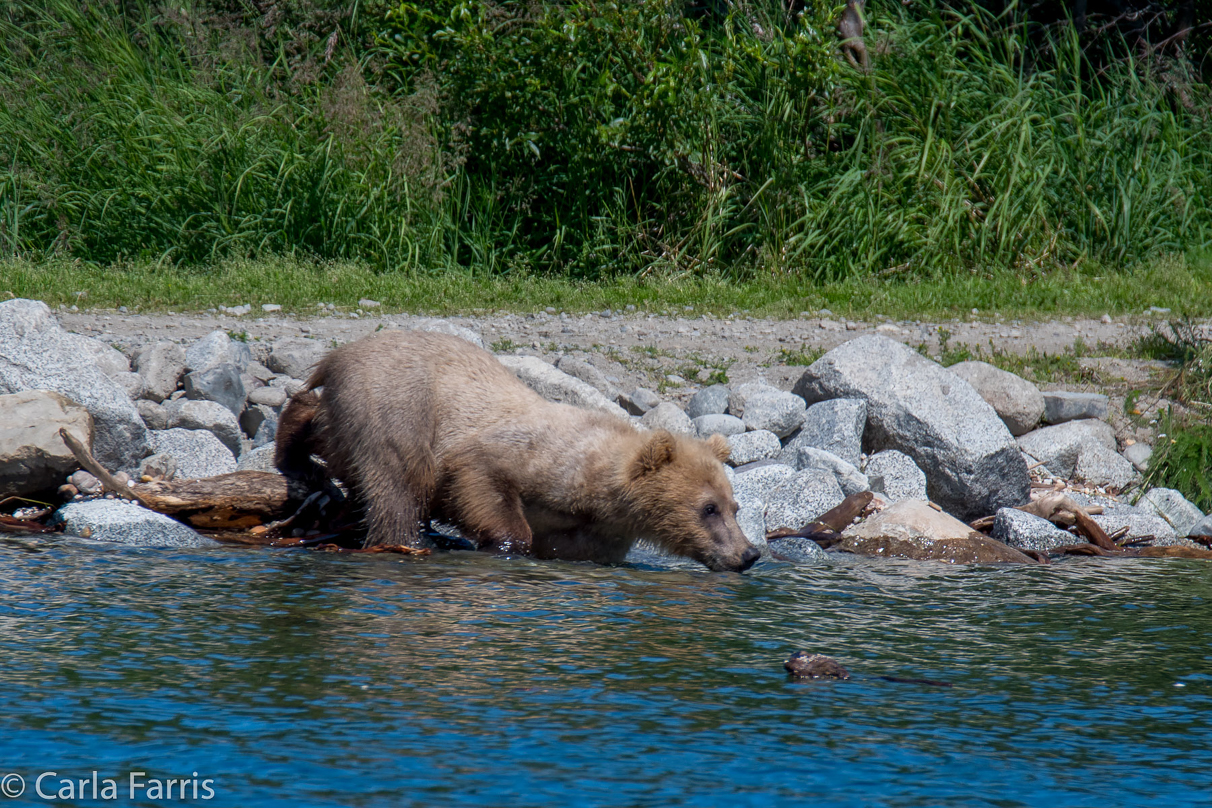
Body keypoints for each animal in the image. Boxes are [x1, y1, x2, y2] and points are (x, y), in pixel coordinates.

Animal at [278, 329, 761, 574]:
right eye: (709, 508)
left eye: (735, 506)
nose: (749, 554)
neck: (601, 492)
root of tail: (339, 354)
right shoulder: (529, 455)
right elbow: (479, 479)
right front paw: (504, 542)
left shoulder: (593, 530)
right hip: (396, 404)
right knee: (397, 480)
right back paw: (401, 539)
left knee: (326, 432)